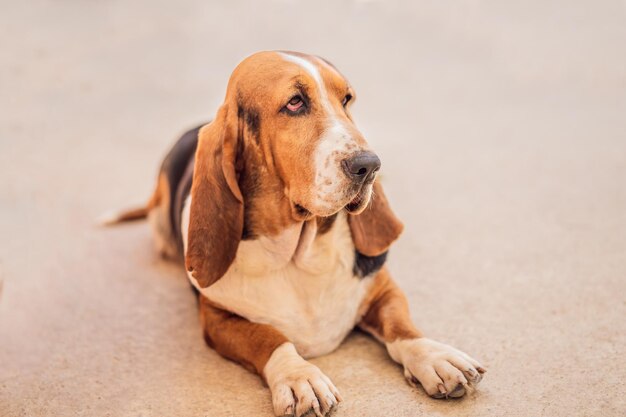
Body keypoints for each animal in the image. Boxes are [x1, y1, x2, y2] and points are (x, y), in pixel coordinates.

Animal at [102, 51, 486, 416]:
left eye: (347, 99)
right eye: (295, 102)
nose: (370, 165)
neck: (298, 256)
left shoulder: (382, 287)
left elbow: (401, 324)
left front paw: (434, 356)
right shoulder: (216, 319)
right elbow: (267, 337)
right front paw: (300, 377)